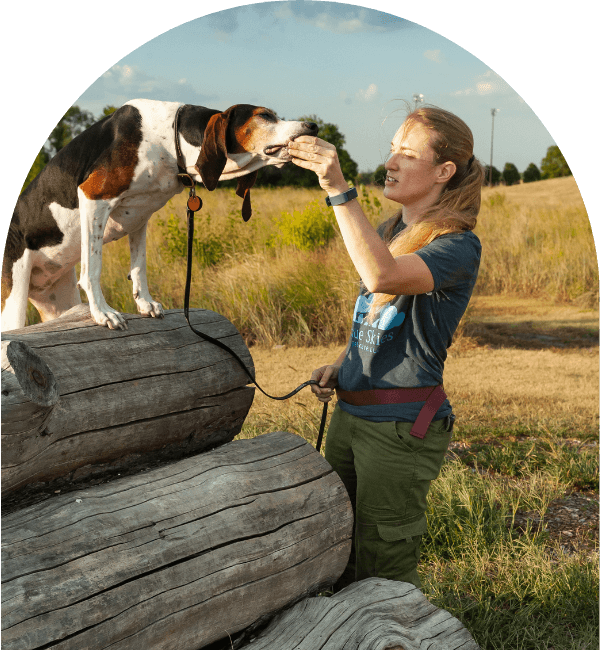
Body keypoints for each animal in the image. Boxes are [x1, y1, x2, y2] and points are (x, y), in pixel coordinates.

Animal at [2, 98, 318, 332]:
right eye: (264, 116)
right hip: (14, 301)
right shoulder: (93, 196)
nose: (313, 125)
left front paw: (145, 304)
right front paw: (103, 313)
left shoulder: (139, 217)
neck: (170, 139)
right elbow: (93, 268)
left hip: (59, 301)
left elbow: (139, 267)